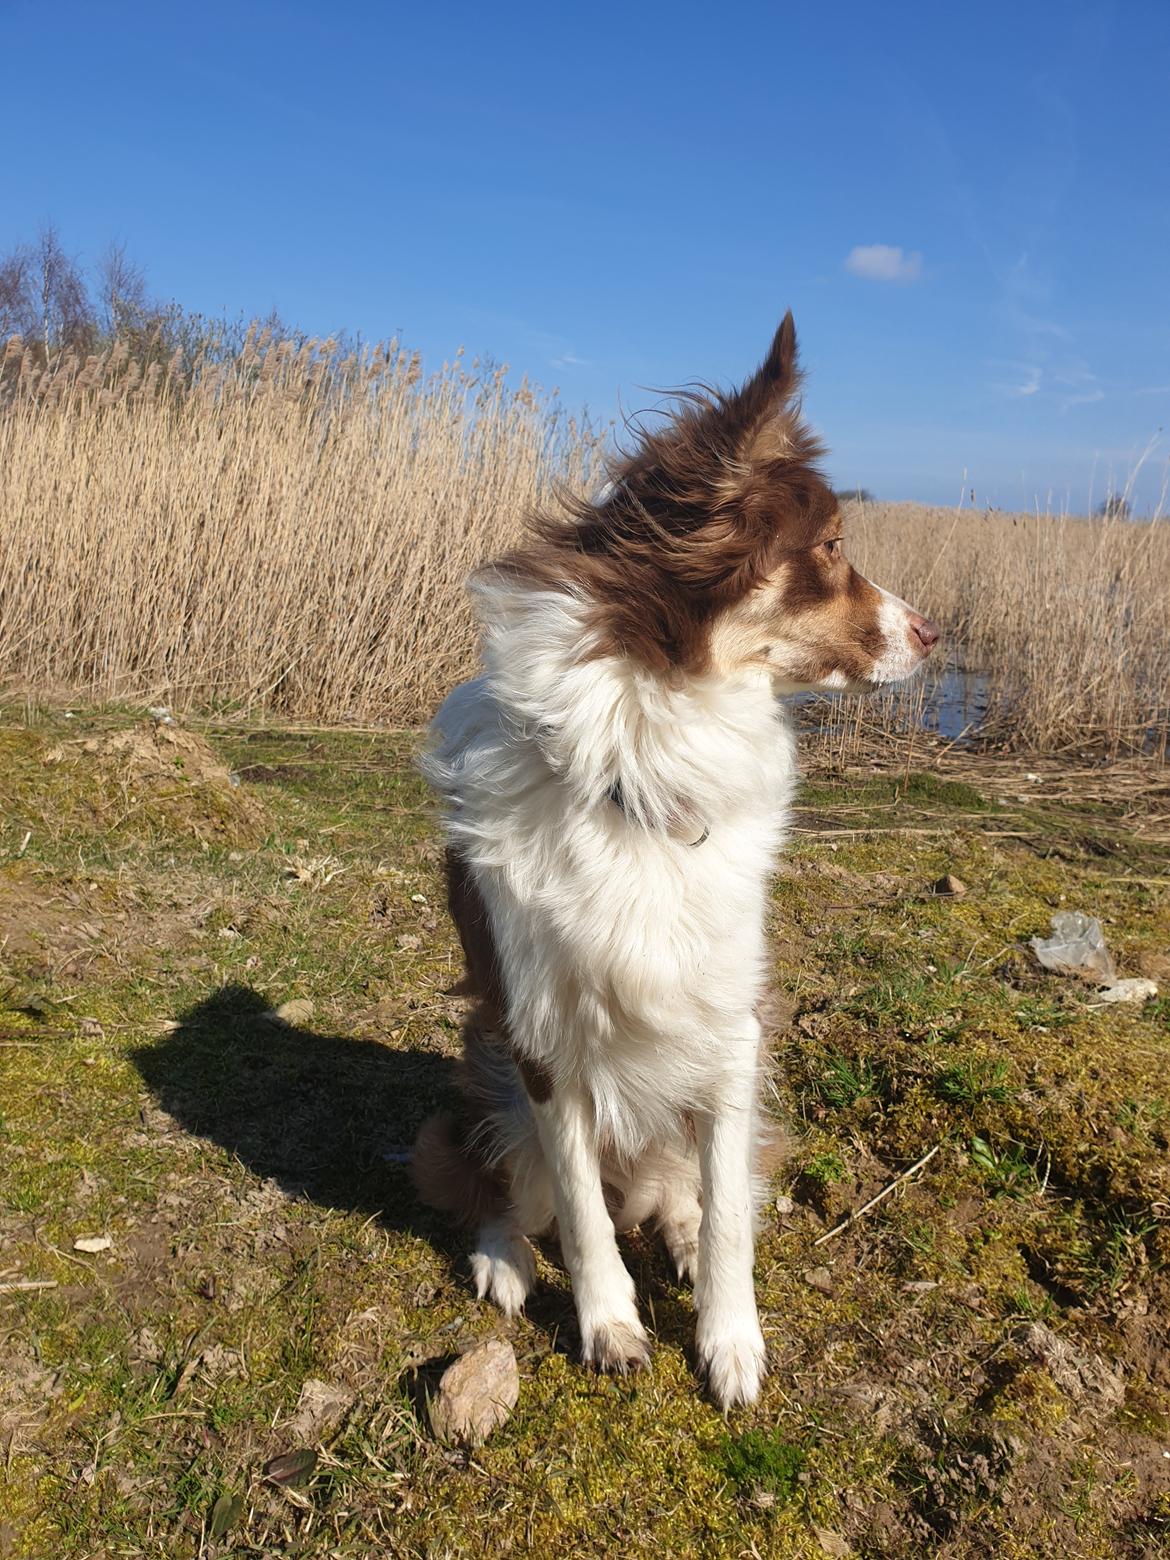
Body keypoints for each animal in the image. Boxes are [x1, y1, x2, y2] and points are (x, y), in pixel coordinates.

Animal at [411, 310, 942, 1410]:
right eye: (833, 547)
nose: (935, 633)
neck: (648, 753)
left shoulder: (732, 1020)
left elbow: (733, 1209)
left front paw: (730, 1337)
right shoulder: (540, 1036)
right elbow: (578, 1206)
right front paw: (610, 1323)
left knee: (688, 1193)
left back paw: (684, 1236)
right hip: (488, 1071)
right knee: (513, 1189)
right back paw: (504, 1258)